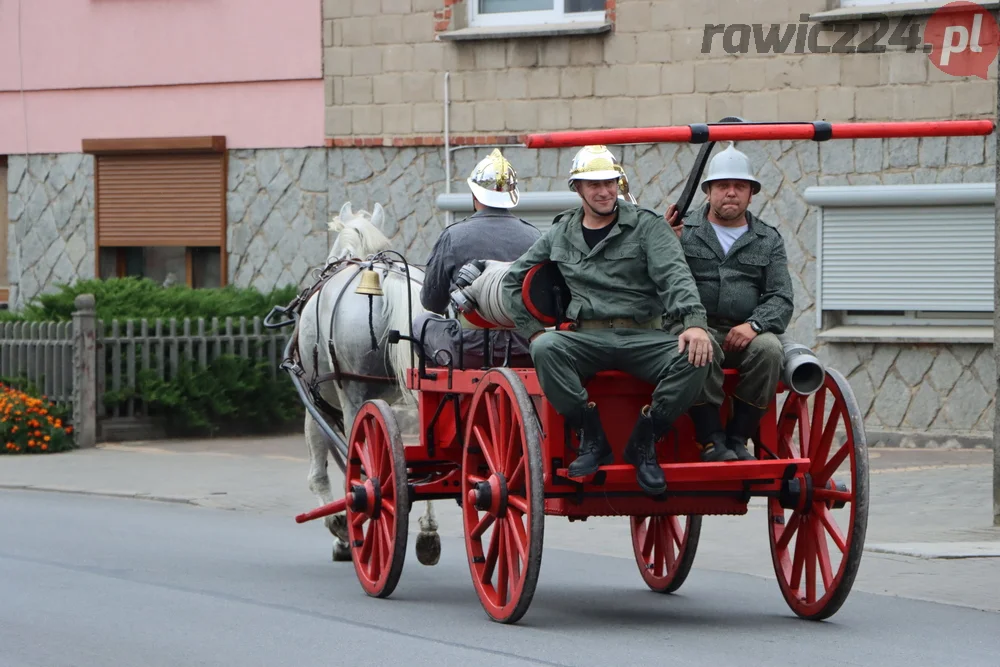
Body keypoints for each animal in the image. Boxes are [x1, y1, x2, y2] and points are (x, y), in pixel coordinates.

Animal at [294, 202, 440, 564]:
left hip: (353, 396)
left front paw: (341, 530)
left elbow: (321, 473)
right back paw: (428, 533)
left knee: (360, 467)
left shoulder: (316, 403)